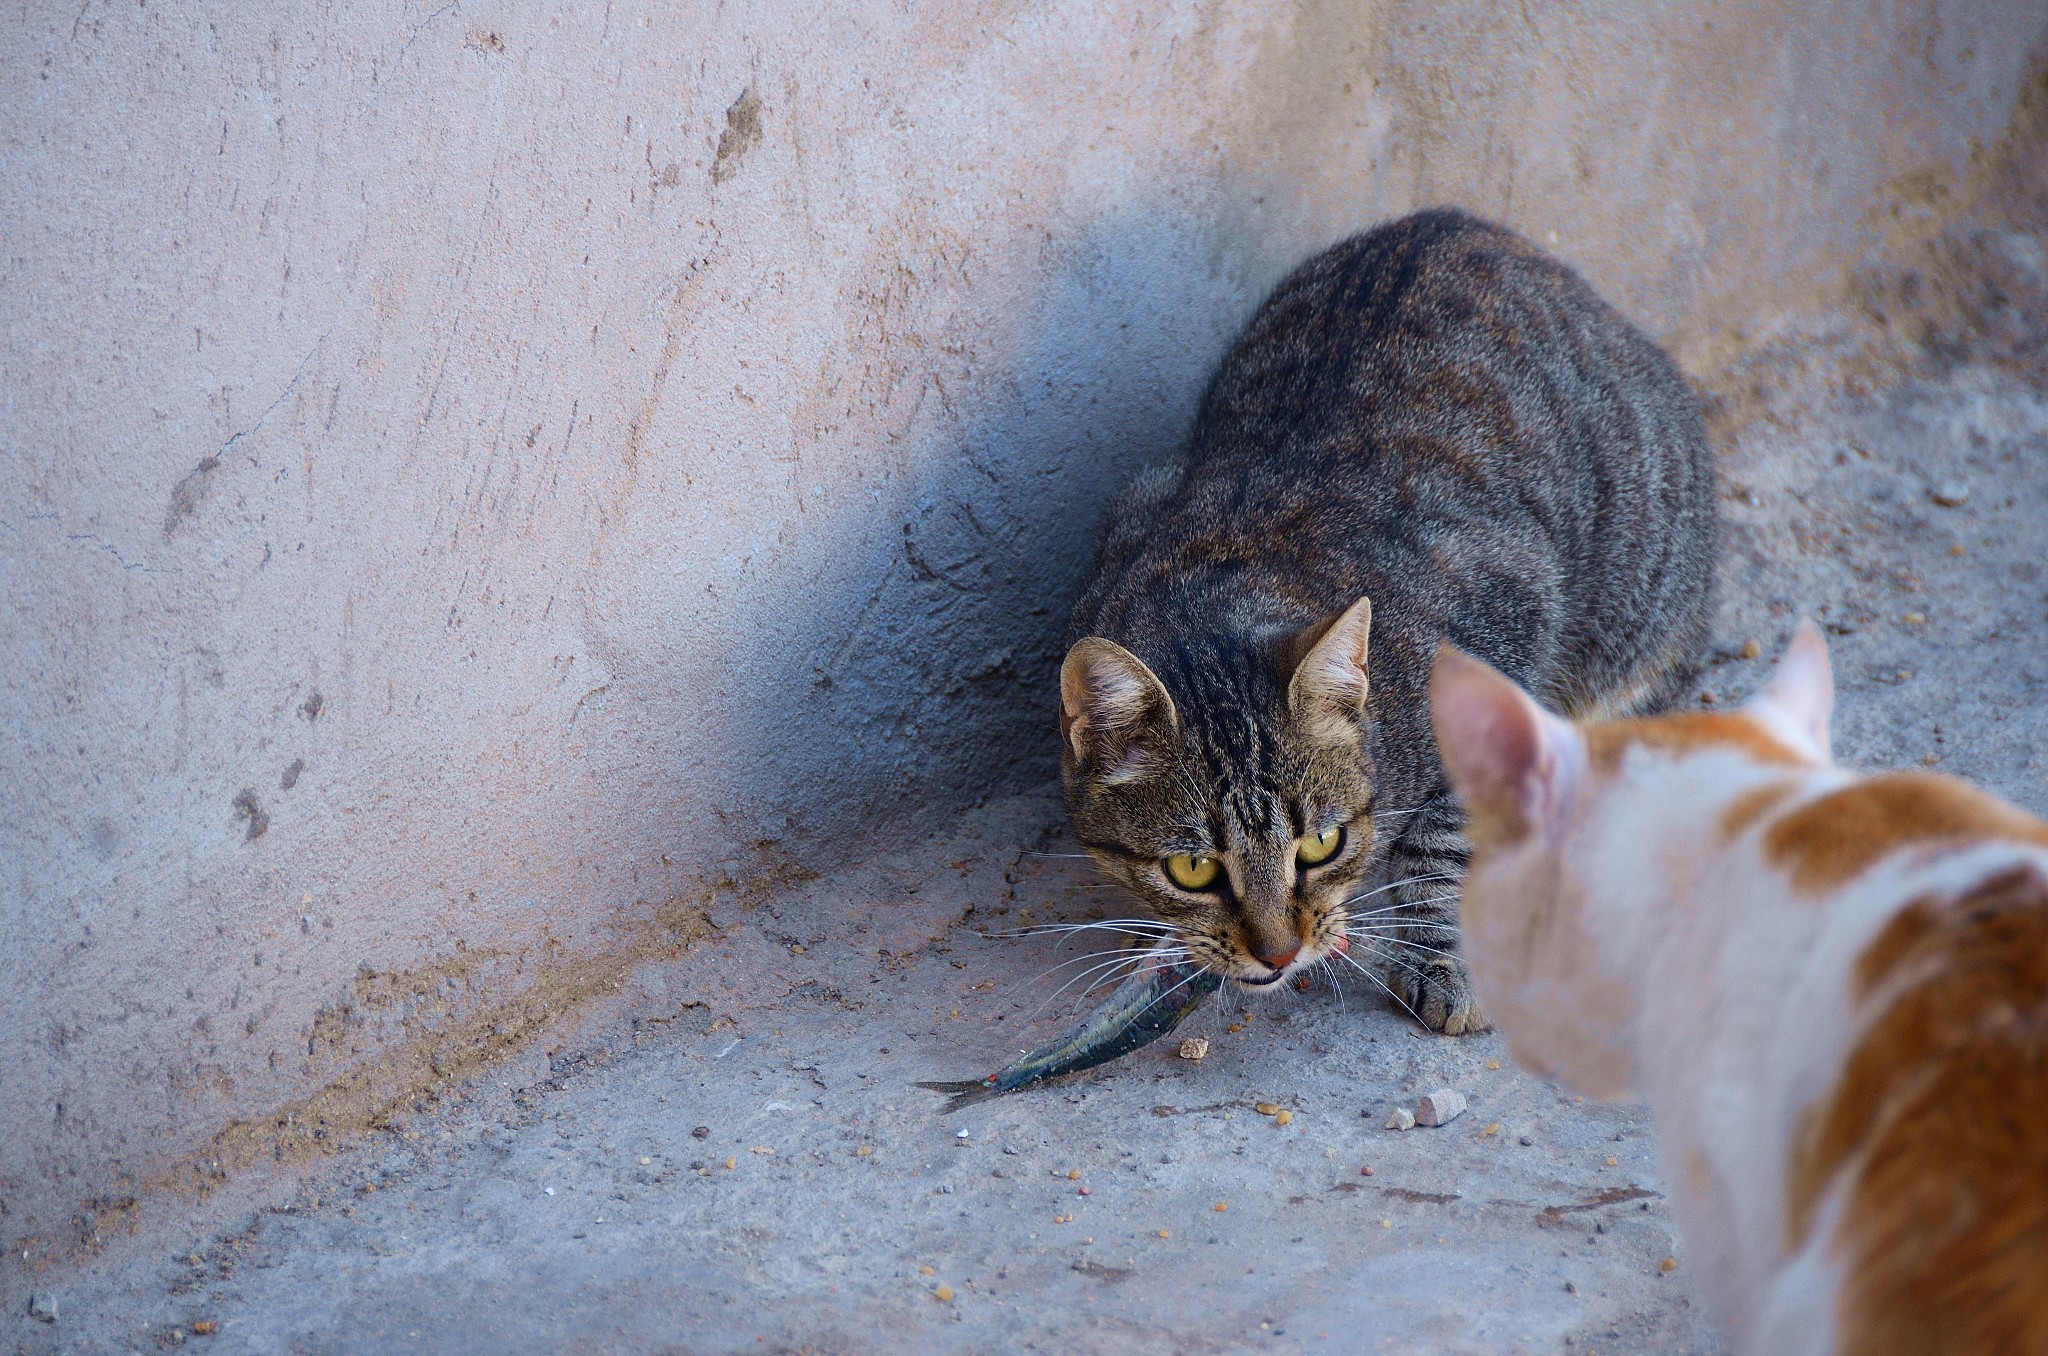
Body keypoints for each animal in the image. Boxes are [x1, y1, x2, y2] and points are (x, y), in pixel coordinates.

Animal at [1056, 209, 1712, 1032]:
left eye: (1321, 844)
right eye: (1193, 867)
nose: (1279, 953)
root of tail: (1461, 220)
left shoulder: (1505, 613)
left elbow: (1445, 837)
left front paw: (1442, 956)